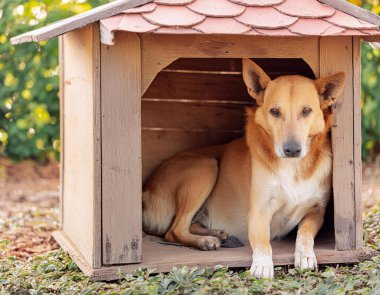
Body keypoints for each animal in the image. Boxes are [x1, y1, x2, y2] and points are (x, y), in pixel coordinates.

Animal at [142, 58, 344, 280]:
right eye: (275, 111)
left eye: (306, 111)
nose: (292, 149)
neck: (294, 168)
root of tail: (146, 189)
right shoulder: (258, 212)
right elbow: (263, 243)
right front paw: (263, 264)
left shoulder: (316, 211)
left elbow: (305, 233)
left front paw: (305, 254)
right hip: (206, 166)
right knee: (173, 230)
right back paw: (205, 241)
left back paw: (216, 234)